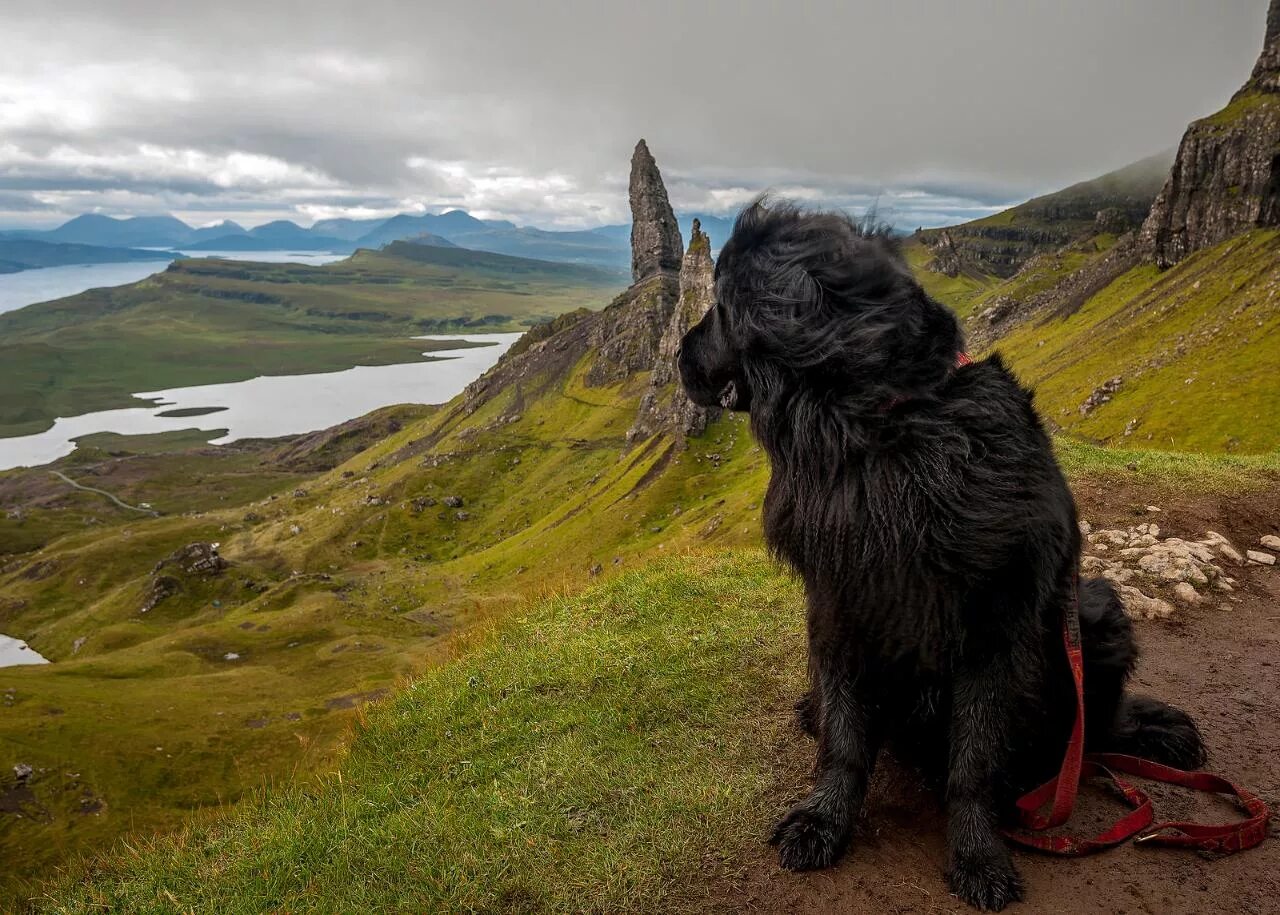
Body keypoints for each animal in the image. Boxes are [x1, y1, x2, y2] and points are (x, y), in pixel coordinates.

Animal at [675, 198, 1203, 911]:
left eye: (723, 306)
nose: (679, 354)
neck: (881, 427)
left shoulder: (993, 625)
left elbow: (973, 759)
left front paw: (978, 854)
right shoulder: (841, 602)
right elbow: (845, 737)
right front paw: (823, 820)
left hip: (1094, 609)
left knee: (1093, 728)